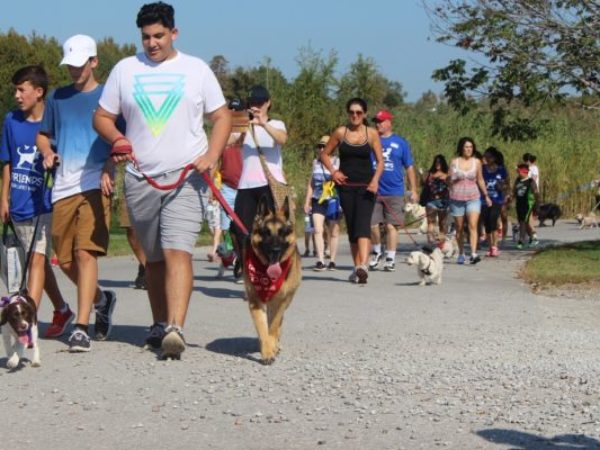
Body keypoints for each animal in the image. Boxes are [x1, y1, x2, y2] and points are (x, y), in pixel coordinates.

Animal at [244, 195, 300, 364]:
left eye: (282, 232)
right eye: (266, 232)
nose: (275, 250)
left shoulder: (281, 302)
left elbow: (274, 325)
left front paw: (273, 345)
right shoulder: (255, 302)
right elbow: (263, 329)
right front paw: (267, 351)